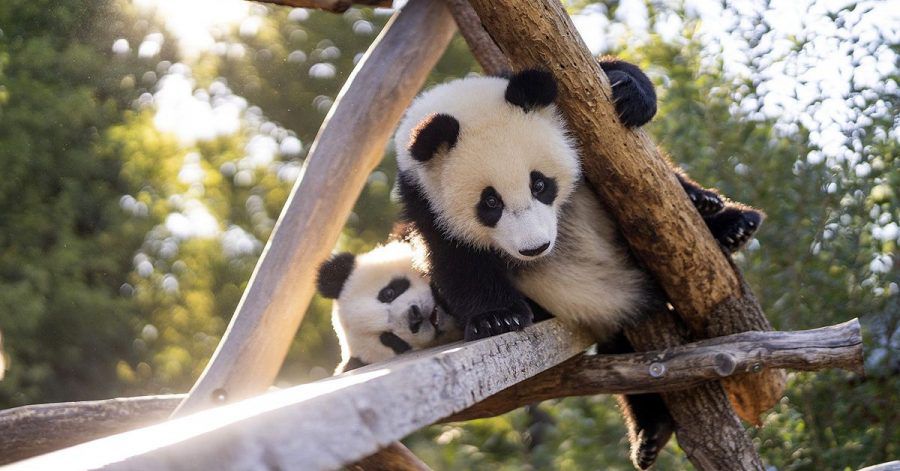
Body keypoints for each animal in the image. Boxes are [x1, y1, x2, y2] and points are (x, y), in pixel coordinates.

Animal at [390, 58, 764, 468]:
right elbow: (456, 263)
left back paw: (728, 222)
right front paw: (498, 318)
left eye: (540, 184)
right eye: (490, 203)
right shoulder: (425, 205)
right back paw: (652, 430)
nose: (535, 248)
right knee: (630, 366)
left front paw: (628, 90)